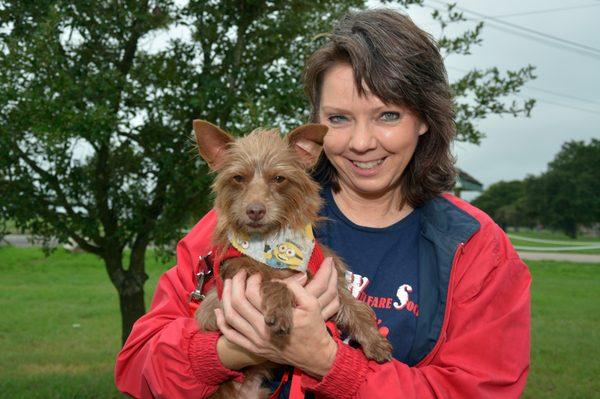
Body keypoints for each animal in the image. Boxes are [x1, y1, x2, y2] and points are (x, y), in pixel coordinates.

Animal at [192, 120, 394, 398]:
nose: (255, 211)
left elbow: (354, 306)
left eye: (279, 178)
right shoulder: (238, 278)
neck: (272, 242)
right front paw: (280, 312)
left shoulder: (327, 274)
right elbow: (276, 283)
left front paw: (374, 340)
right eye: (238, 178)